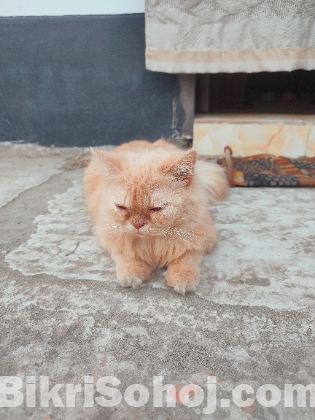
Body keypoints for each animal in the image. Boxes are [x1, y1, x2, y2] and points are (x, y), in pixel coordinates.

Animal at [82, 139, 228, 294]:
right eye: (122, 207)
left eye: (156, 209)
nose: (137, 224)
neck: (153, 244)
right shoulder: (108, 233)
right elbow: (125, 254)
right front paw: (132, 273)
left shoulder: (201, 238)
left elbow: (186, 258)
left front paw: (182, 277)